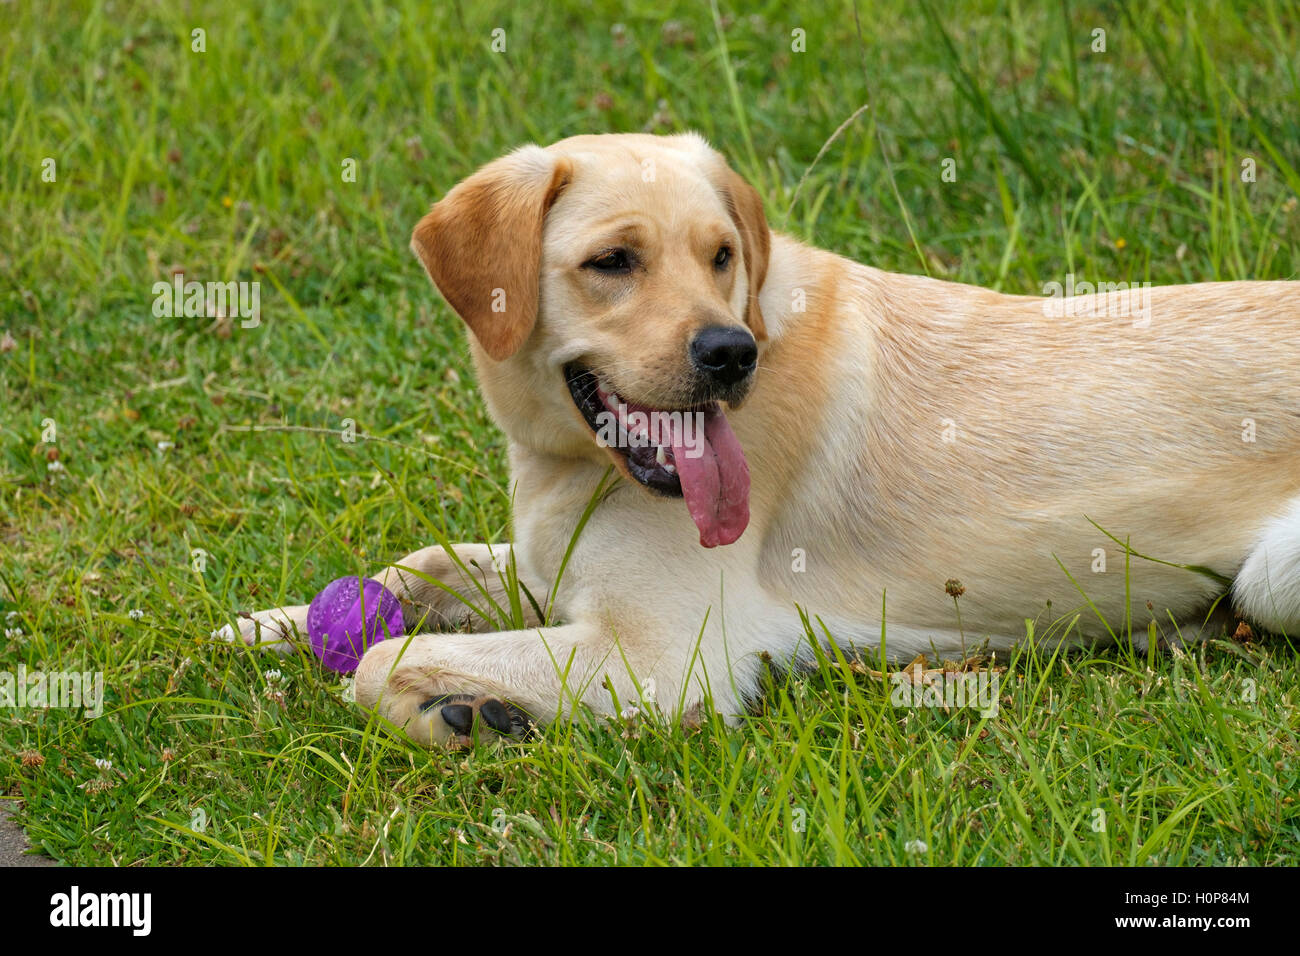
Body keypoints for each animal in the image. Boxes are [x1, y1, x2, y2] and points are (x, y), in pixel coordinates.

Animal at [228, 134, 1300, 749]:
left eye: (720, 256)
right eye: (612, 262)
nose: (731, 352)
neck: (575, 461)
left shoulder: (660, 656)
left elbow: (379, 661)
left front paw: (466, 710)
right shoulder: (552, 568)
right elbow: (421, 566)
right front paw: (270, 626)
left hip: (1274, 576)